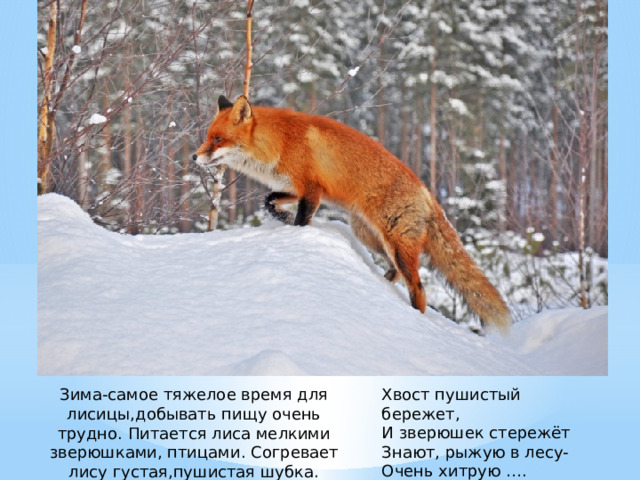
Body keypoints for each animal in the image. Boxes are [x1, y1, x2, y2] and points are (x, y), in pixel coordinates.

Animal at [194, 95, 510, 331]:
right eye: (208, 137)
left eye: (218, 139)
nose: (194, 157)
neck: (279, 142)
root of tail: (428, 194)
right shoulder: (296, 188)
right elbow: (268, 200)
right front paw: (281, 218)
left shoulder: (312, 190)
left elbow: (302, 220)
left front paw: (295, 232)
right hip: (370, 236)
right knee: (396, 273)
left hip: (396, 244)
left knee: (419, 289)